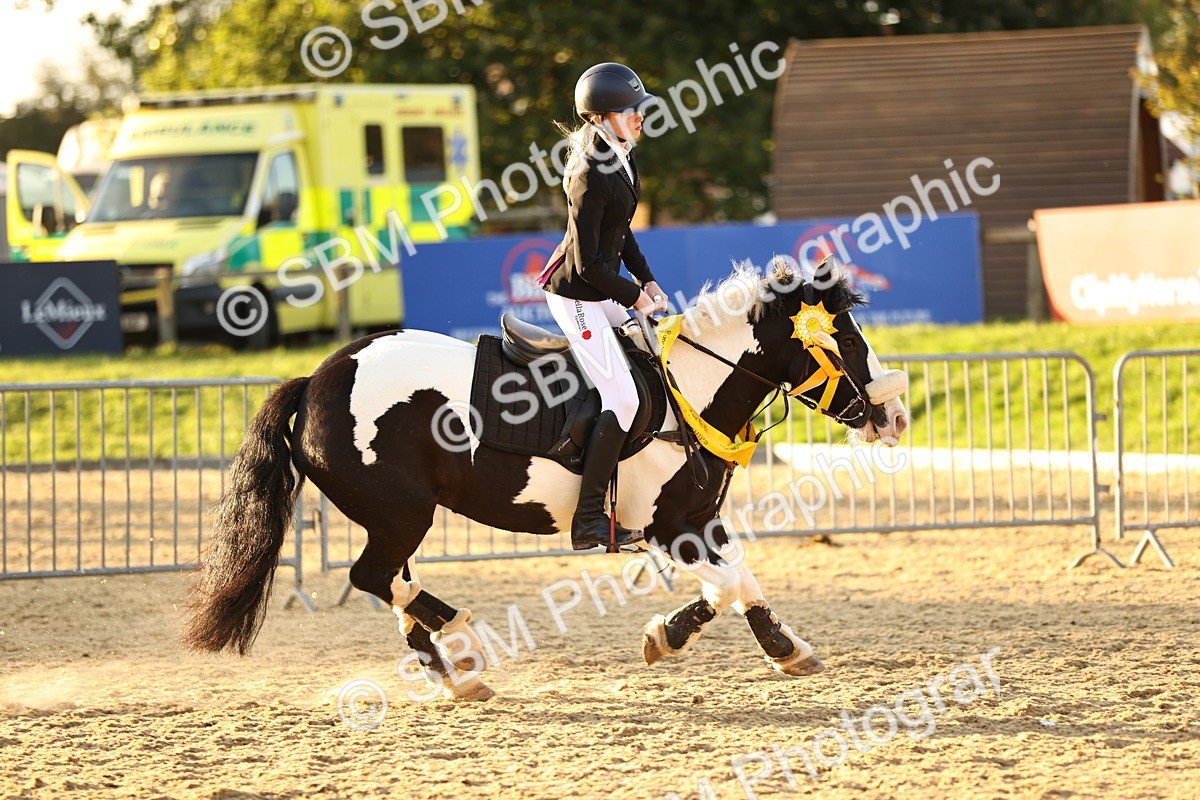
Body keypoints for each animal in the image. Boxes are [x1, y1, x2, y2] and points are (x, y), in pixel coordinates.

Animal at [182, 259, 909, 700]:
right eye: (846, 337)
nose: (895, 415)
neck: (691, 387)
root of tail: (317, 378)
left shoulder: (699, 521)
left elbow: (738, 582)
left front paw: (765, 645)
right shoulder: (670, 527)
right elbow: (728, 584)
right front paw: (690, 638)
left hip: (397, 519)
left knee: (393, 583)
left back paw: (453, 670)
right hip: (400, 513)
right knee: (375, 578)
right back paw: (461, 640)